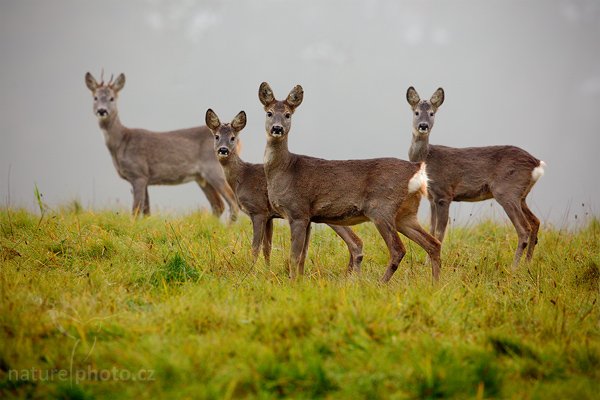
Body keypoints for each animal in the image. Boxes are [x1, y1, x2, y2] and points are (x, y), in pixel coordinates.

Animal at [85, 72, 239, 222]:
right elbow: (146, 211)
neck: (121, 142)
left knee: (232, 202)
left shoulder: (138, 173)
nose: (102, 111)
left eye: (111, 98)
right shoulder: (145, 178)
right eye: (95, 98)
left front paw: (132, 226)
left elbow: (136, 210)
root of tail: (236, 139)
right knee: (218, 205)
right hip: (200, 177)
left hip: (214, 169)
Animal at [204, 108, 364, 268]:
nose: (223, 150)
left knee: (355, 242)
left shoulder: (258, 210)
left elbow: (255, 247)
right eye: (217, 137)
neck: (242, 177)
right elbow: (267, 247)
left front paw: (251, 270)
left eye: (233, 138)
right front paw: (267, 270)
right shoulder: (269, 215)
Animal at [258, 81, 440, 282]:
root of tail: (417, 169)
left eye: (288, 114)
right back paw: (435, 284)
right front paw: (300, 281)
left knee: (398, 249)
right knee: (433, 244)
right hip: (405, 214)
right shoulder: (308, 216)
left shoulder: (298, 211)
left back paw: (380, 284)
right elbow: (302, 257)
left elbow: (294, 256)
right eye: (269, 113)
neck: (286, 169)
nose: (277, 128)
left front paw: (293, 283)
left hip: (381, 208)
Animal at [406, 87, 548, 268]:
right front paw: (426, 263)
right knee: (535, 222)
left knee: (524, 229)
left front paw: (434, 262)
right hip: (521, 195)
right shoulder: (432, 198)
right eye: (416, 112)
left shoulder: (444, 194)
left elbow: (439, 232)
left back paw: (514, 267)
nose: (423, 126)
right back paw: (528, 264)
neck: (426, 158)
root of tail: (537, 163)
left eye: (432, 113)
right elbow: (431, 230)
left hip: (506, 191)